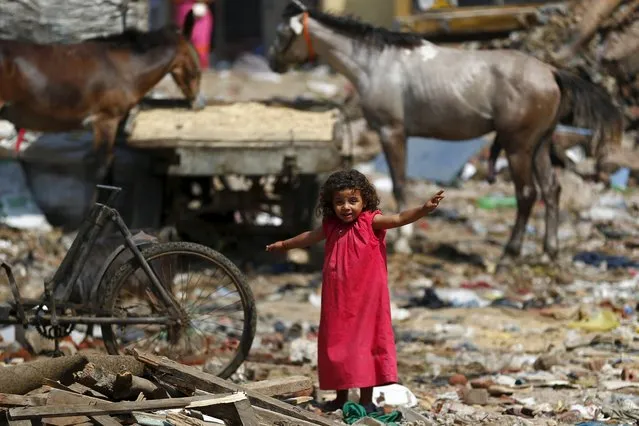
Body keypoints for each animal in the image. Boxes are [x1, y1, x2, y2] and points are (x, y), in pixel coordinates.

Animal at [0, 18, 205, 176]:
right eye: (197, 69)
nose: (200, 103)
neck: (125, 68)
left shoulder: (100, 124)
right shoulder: (107, 119)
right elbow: (102, 166)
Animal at [266, 0, 624, 266]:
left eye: (283, 33)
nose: (272, 63)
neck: (378, 63)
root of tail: (550, 71)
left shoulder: (391, 132)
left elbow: (399, 184)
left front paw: (404, 242)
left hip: (518, 146)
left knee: (527, 195)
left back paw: (510, 254)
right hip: (540, 144)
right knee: (551, 190)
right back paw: (549, 253)